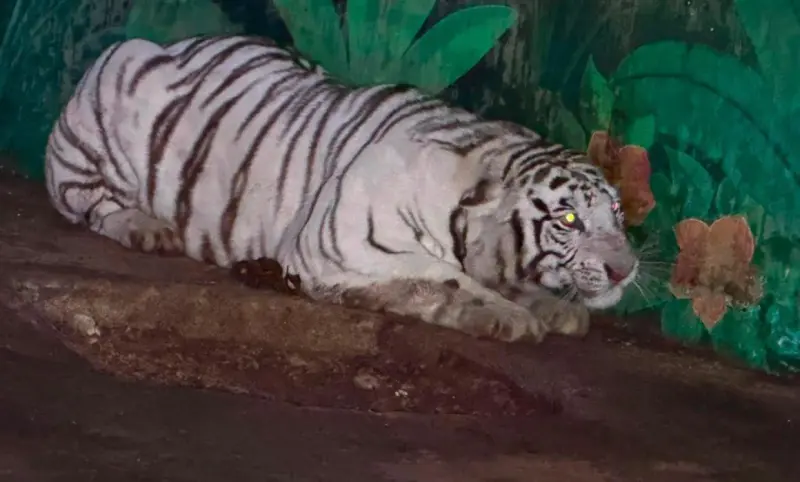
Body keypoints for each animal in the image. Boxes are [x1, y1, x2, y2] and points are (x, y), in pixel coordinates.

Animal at [45, 35, 639, 343]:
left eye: (616, 211)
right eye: (568, 220)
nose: (625, 270)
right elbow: (445, 278)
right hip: (110, 89)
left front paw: (551, 306)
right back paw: (146, 228)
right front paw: (509, 316)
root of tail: (172, 42)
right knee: (86, 201)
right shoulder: (343, 243)